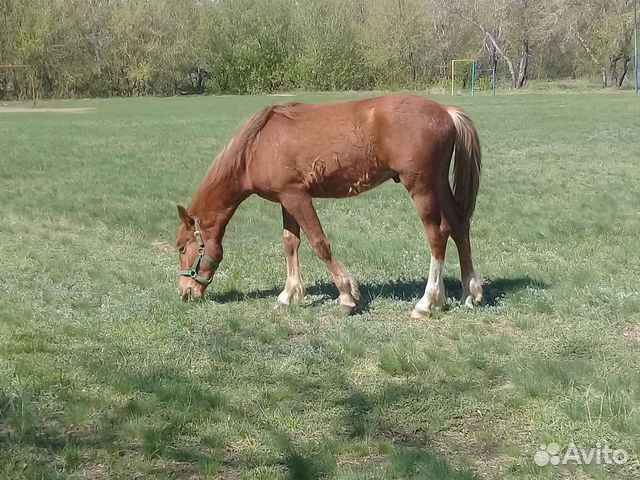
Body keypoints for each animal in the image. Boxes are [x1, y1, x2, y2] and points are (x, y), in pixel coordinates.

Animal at [172, 94, 482, 318]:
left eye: (182, 248)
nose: (185, 292)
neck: (256, 147)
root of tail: (446, 112)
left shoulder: (297, 197)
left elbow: (319, 244)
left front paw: (346, 295)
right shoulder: (286, 199)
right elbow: (290, 243)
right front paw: (288, 295)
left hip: (422, 187)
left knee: (437, 234)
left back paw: (428, 302)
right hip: (439, 185)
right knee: (459, 224)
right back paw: (470, 292)